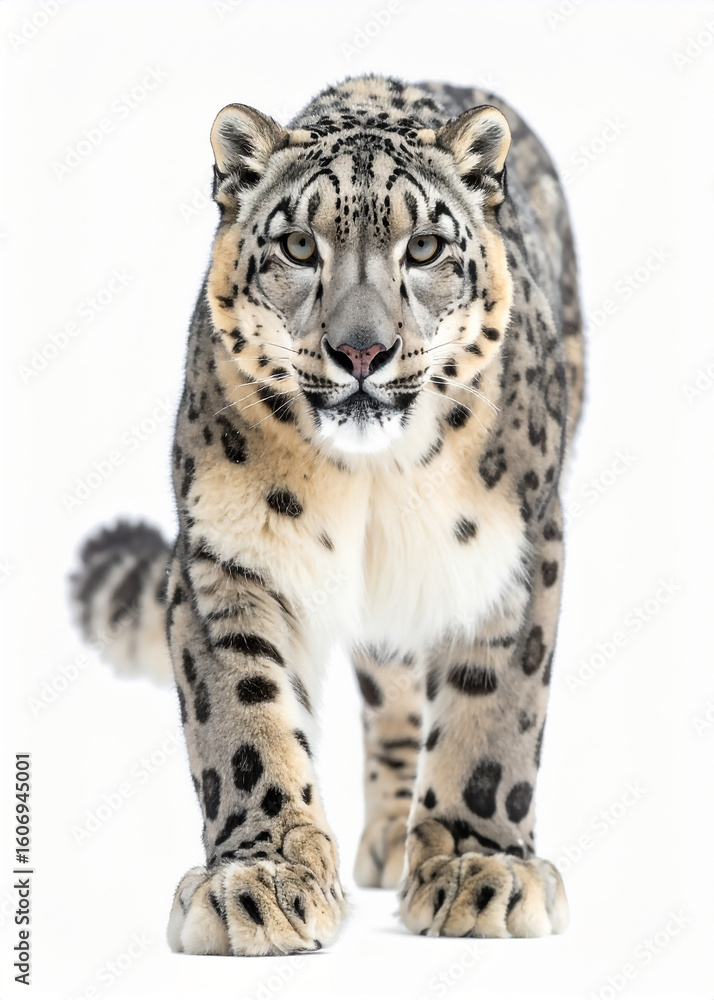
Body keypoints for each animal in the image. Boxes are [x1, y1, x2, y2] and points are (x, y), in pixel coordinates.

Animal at [71, 74, 584, 955]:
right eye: (299, 247)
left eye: (425, 249)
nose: (362, 351)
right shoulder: (227, 558)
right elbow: (244, 723)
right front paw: (259, 881)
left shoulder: (512, 555)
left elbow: (494, 717)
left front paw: (480, 868)